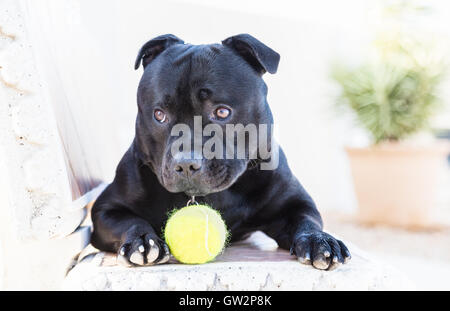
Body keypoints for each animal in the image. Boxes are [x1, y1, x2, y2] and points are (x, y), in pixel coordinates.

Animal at [90, 33, 352, 270]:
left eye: (222, 112)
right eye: (159, 115)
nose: (185, 163)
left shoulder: (295, 204)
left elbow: (307, 221)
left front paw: (320, 241)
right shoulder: (106, 209)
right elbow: (129, 220)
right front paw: (143, 241)